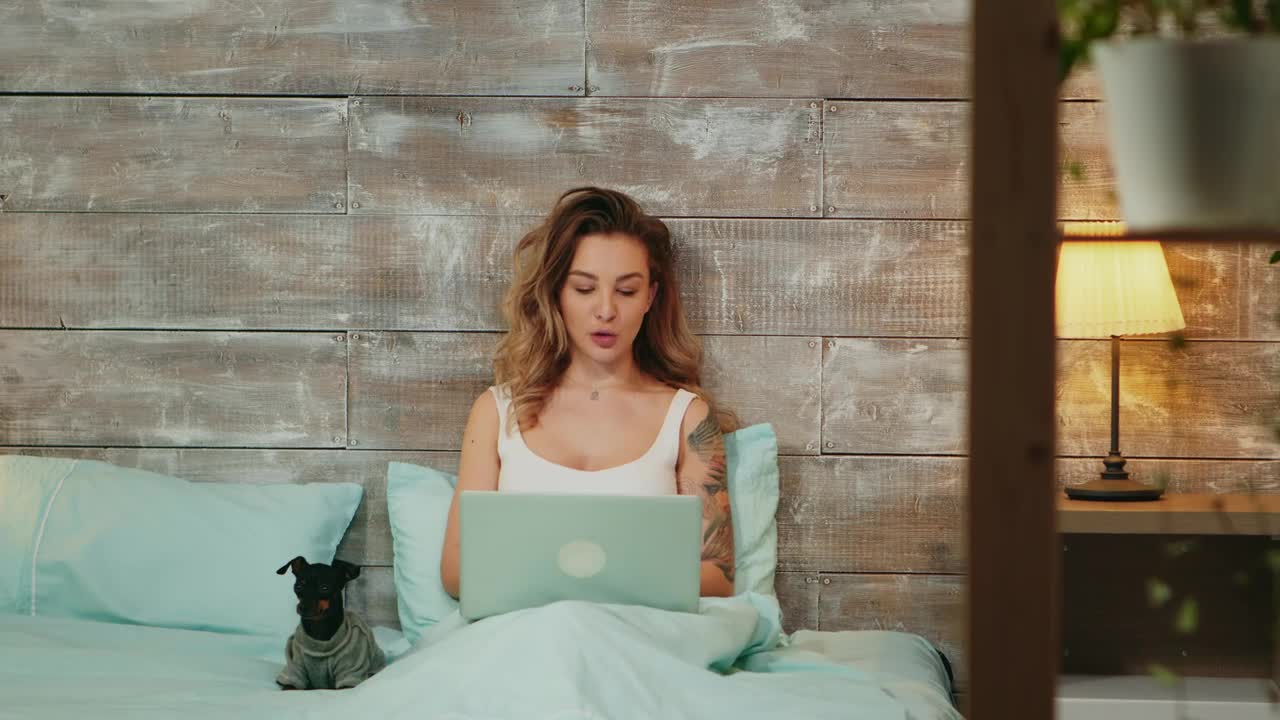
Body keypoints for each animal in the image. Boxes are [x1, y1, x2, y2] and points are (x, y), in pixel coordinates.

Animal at [275, 550, 384, 686]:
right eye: (298, 586)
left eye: (324, 588)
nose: (302, 607)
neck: (319, 630)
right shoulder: (294, 670)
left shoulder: (350, 672)